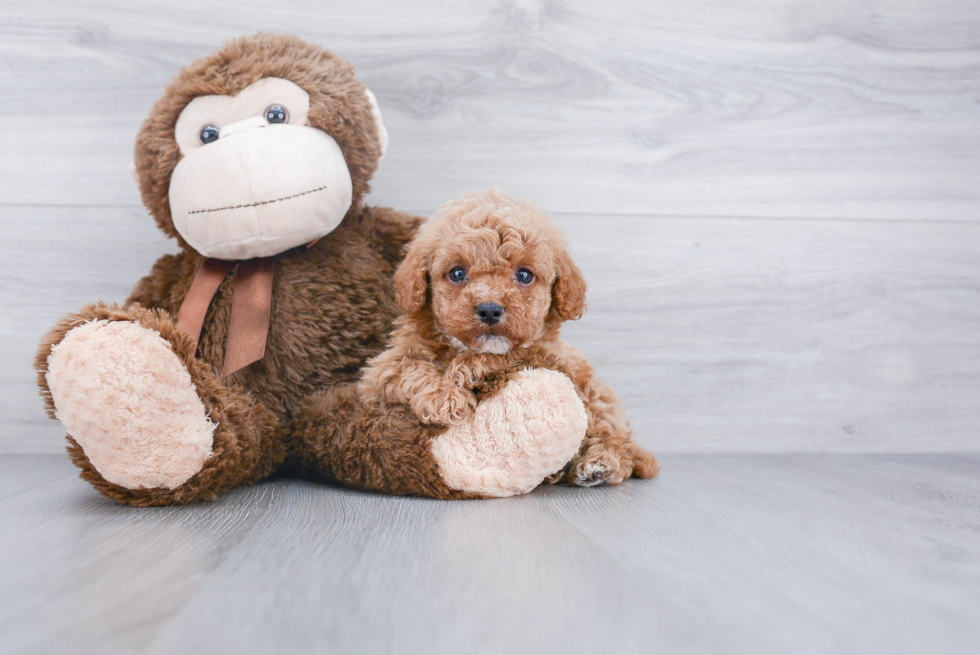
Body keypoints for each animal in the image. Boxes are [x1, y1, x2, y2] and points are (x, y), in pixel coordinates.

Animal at [356, 190, 664, 486]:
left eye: (524, 274)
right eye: (457, 272)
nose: (489, 309)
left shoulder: (549, 354)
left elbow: (513, 353)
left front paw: (468, 369)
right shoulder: (380, 371)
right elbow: (411, 368)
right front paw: (445, 398)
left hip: (594, 393)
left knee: (616, 442)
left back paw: (600, 465)